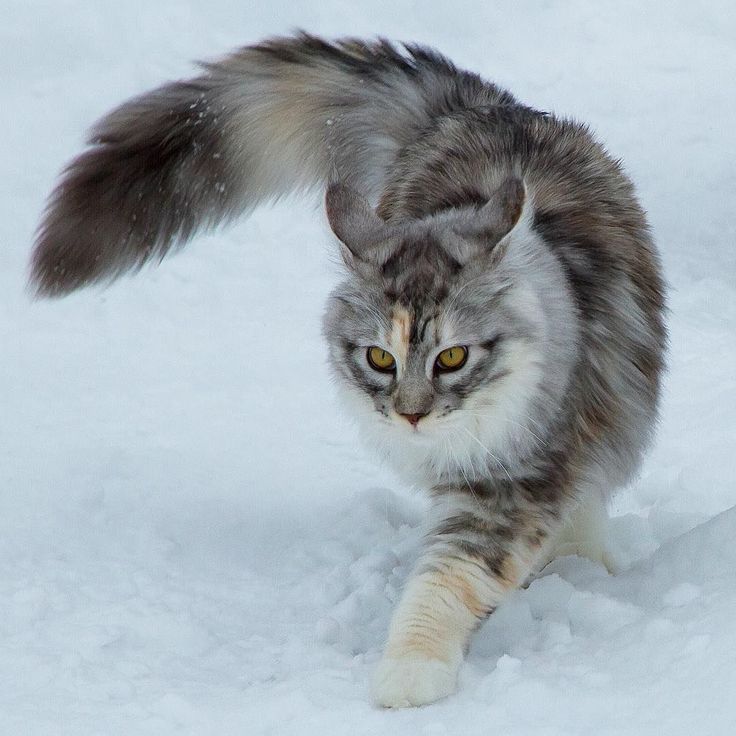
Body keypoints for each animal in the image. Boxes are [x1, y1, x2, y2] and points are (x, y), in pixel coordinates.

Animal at [31, 34, 668, 708]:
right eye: (379, 358)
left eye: (452, 357)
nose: (410, 415)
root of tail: (483, 107)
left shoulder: (520, 476)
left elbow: (445, 580)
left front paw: (410, 672)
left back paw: (580, 563)